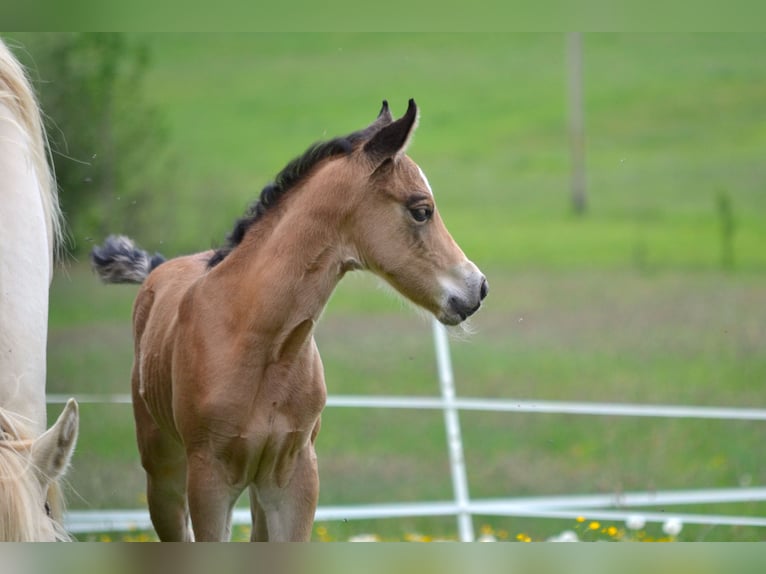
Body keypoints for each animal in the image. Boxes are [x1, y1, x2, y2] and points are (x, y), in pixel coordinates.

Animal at [91, 99, 488, 541]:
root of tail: (160, 268)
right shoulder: (209, 479)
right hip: (163, 473)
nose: (477, 287)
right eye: (421, 210)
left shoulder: (294, 477)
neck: (258, 338)